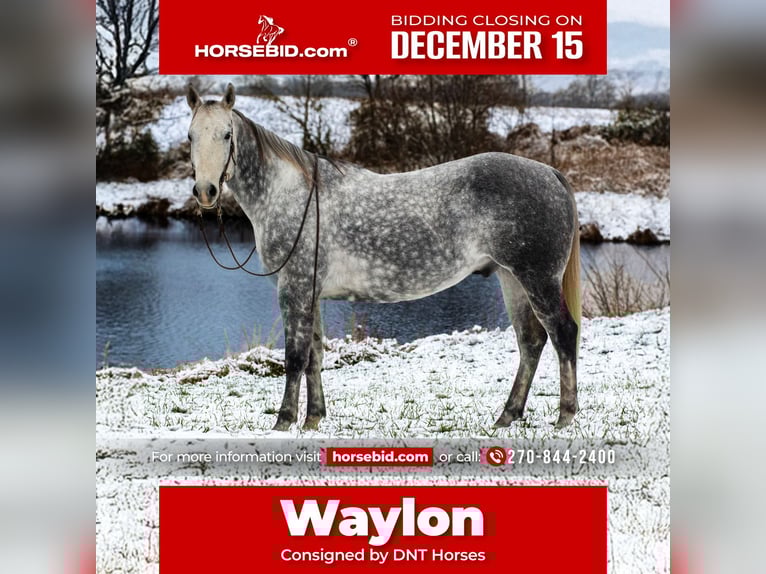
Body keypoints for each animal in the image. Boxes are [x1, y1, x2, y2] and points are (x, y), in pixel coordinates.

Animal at [185, 83, 582, 431]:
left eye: (226, 135)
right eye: (190, 136)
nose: (205, 191)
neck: (291, 194)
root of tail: (549, 173)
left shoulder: (293, 289)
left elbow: (295, 357)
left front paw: (283, 421)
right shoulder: (310, 292)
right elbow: (315, 354)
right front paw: (313, 419)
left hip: (537, 279)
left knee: (563, 333)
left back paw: (565, 416)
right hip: (511, 277)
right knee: (531, 341)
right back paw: (507, 415)